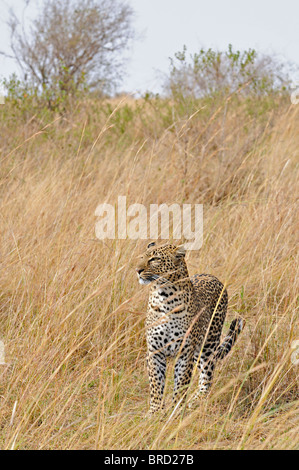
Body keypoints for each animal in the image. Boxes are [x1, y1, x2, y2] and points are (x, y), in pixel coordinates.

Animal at [137, 244, 245, 414]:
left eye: (154, 259)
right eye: (142, 257)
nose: (137, 270)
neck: (165, 297)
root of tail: (211, 276)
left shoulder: (185, 352)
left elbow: (181, 384)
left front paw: (176, 411)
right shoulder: (155, 352)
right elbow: (156, 385)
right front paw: (155, 412)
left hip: (208, 345)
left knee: (207, 376)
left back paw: (196, 400)